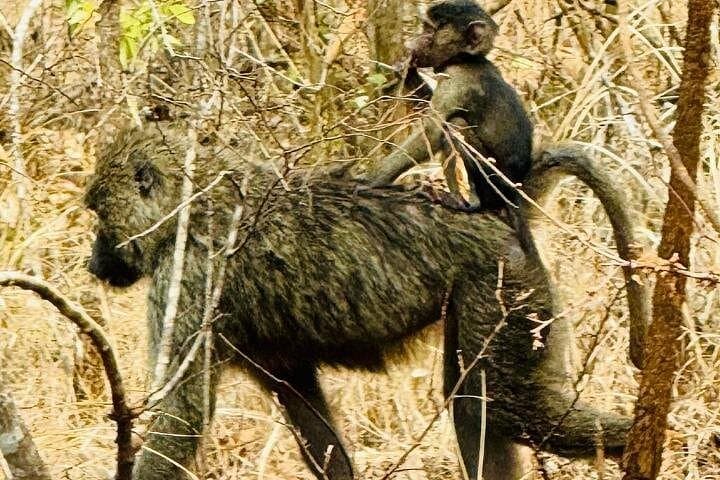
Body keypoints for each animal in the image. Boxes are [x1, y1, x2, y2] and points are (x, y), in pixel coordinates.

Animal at [84, 127, 646, 480]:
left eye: (97, 214)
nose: (92, 263)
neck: (193, 201)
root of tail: (497, 216)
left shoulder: (190, 277)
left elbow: (183, 413)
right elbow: (305, 408)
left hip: (504, 291)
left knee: (515, 410)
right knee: (475, 404)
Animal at [350, 0, 533, 213]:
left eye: (430, 30)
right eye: (424, 27)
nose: (412, 42)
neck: (465, 59)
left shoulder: (456, 81)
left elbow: (431, 132)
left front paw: (372, 179)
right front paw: (406, 70)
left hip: (494, 187)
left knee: (455, 125)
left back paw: (466, 202)